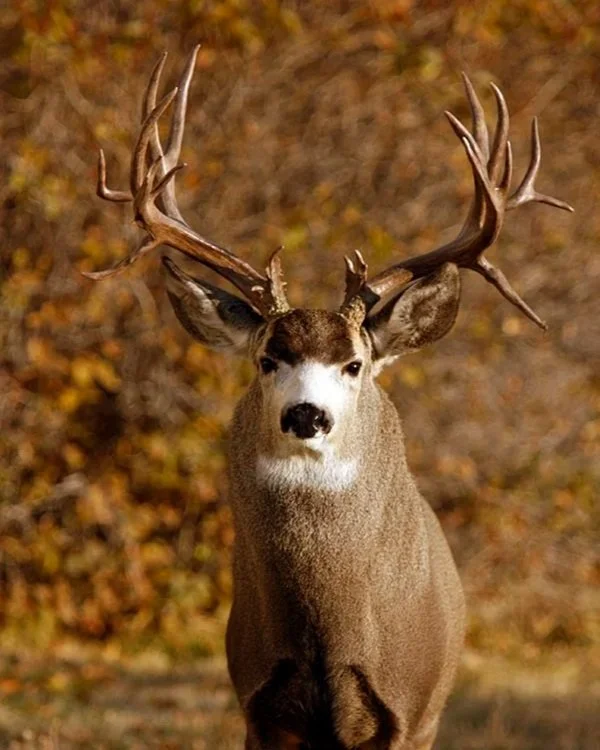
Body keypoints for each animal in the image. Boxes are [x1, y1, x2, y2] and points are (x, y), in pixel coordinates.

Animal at [87, 47, 572, 750]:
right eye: (267, 359)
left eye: (354, 364)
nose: (306, 415)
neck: (327, 629)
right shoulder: (258, 706)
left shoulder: (404, 711)